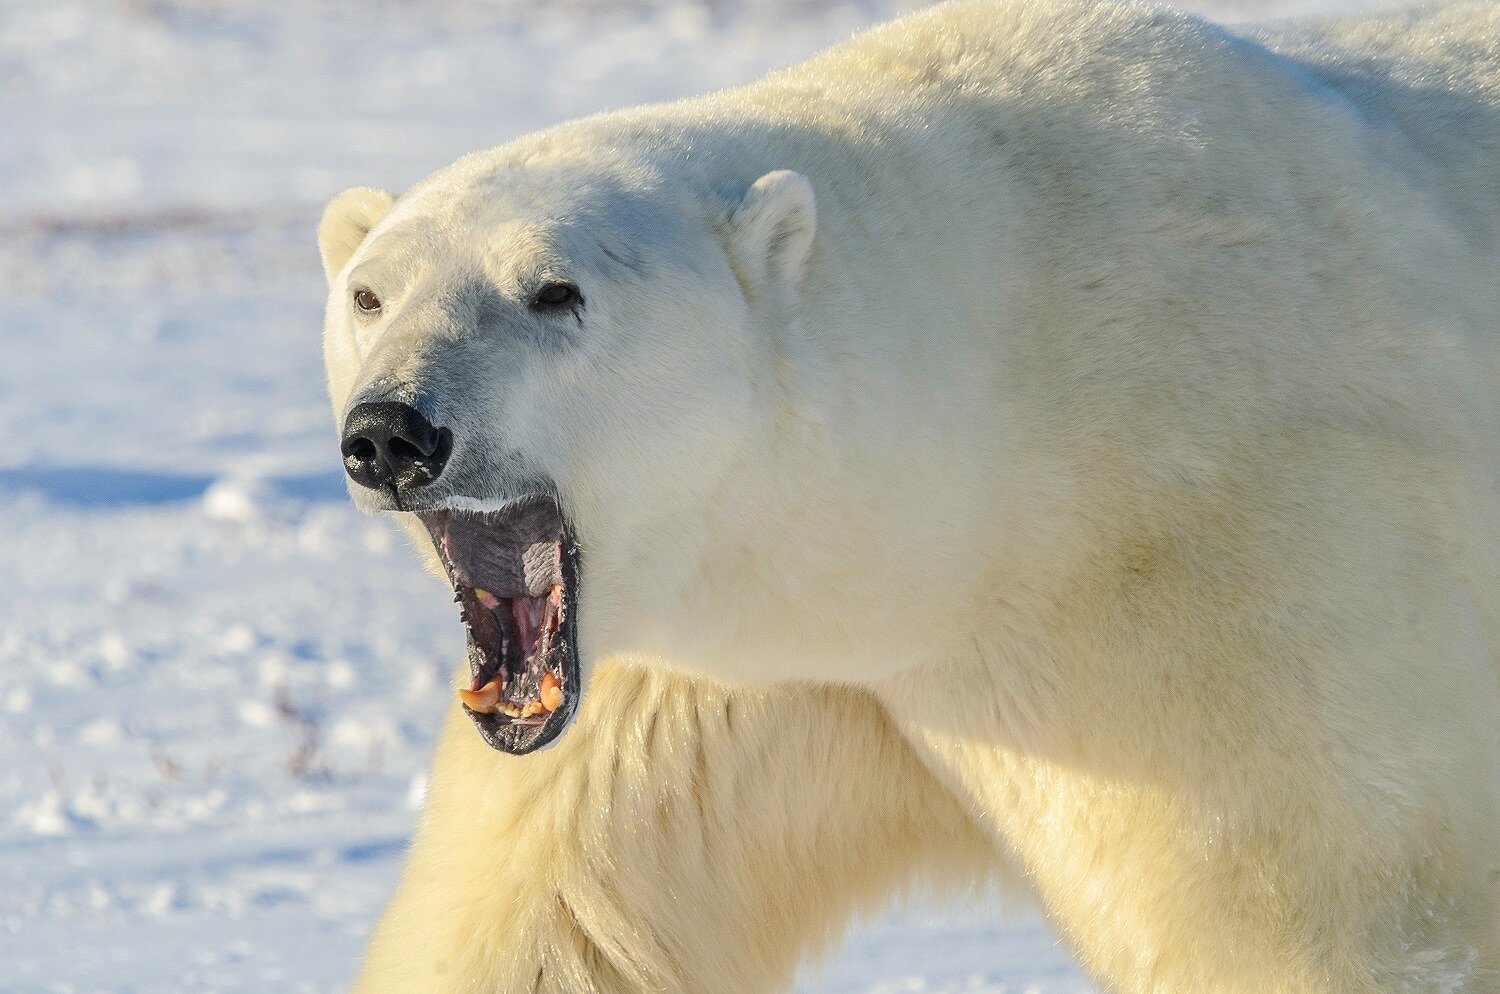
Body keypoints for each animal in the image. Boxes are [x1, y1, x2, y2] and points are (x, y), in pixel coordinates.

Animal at [313, 1, 1500, 994]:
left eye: (556, 291)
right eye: (371, 294)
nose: (391, 434)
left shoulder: (1231, 580)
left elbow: (1328, 916)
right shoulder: (717, 674)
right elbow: (547, 919)